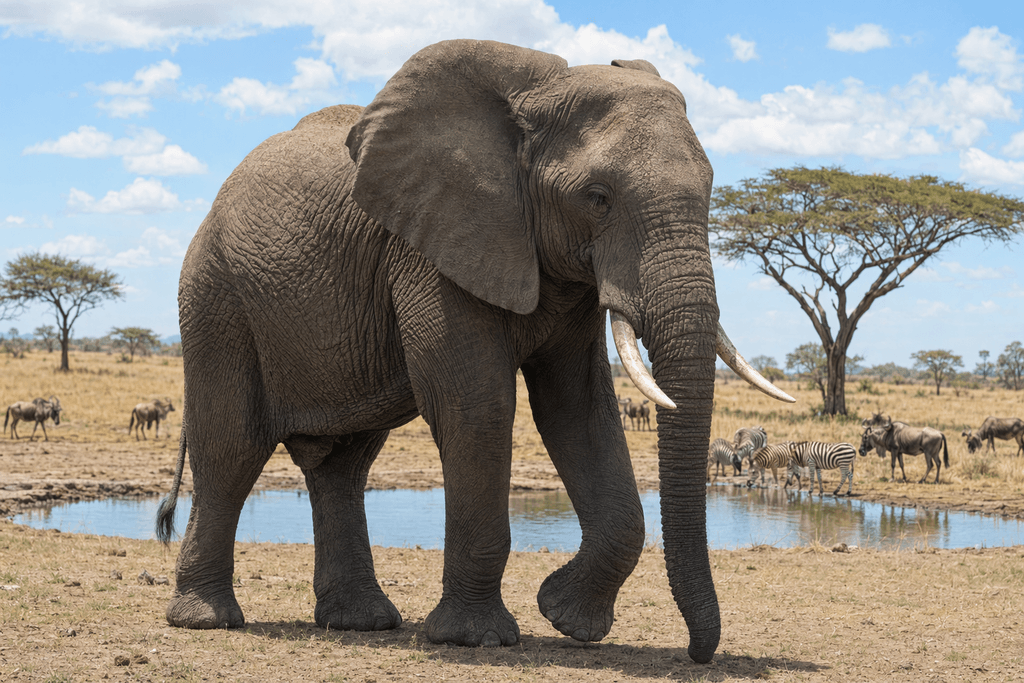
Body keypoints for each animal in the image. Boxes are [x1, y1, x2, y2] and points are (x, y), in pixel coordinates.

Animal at [155, 39, 793, 663]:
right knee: (232, 446)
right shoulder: (431, 248)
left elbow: (577, 408)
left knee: (345, 464)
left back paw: (361, 623)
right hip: (216, 294)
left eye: (711, 189)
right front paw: (476, 639)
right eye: (597, 198)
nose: (698, 655)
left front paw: (565, 618)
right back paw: (205, 621)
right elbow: (476, 404)